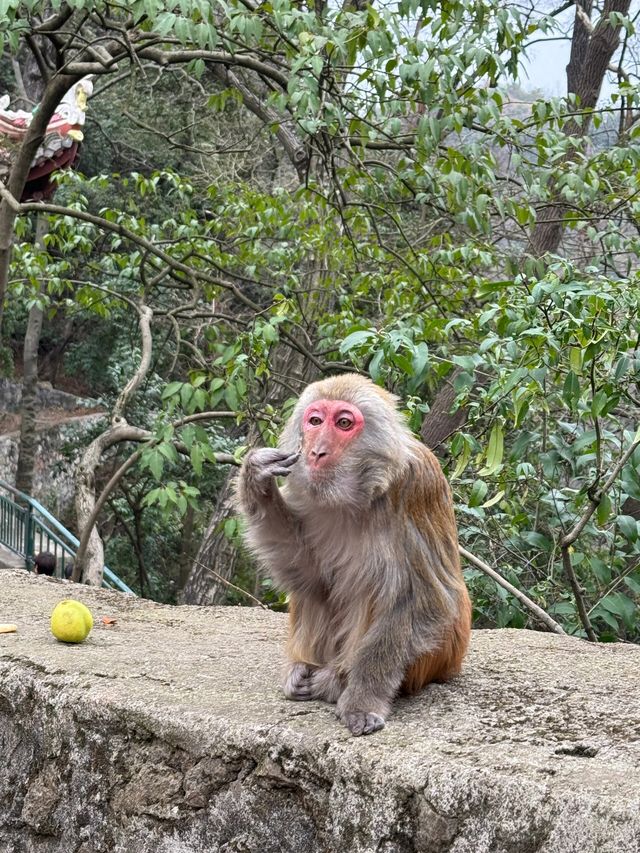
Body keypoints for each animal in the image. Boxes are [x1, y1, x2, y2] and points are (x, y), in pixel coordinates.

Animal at [236, 372, 470, 732]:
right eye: (315, 421)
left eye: (344, 423)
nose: (316, 452)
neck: (359, 492)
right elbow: (313, 576)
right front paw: (256, 479)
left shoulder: (416, 486)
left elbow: (421, 600)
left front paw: (362, 699)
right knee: (321, 594)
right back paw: (302, 670)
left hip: (437, 660)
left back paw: (335, 680)